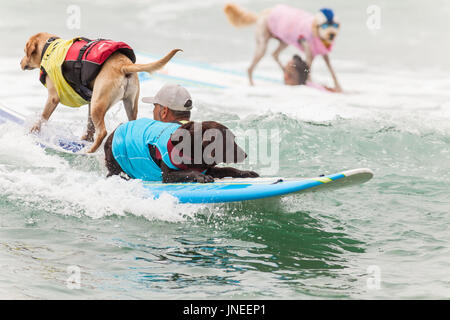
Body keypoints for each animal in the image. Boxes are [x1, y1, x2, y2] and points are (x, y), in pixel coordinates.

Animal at [19, 32, 181, 152]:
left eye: (25, 52)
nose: (20, 63)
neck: (50, 48)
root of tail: (124, 65)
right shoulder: (90, 100)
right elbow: (90, 126)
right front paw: (86, 139)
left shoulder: (53, 98)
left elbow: (42, 118)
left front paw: (33, 132)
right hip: (126, 104)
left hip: (98, 105)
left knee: (102, 132)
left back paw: (89, 151)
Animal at [103, 118, 258, 184]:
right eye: (228, 142)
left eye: (234, 139)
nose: (245, 154)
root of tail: (112, 133)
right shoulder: (167, 175)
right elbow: (190, 171)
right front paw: (201, 177)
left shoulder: (207, 168)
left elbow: (229, 169)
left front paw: (246, 172)